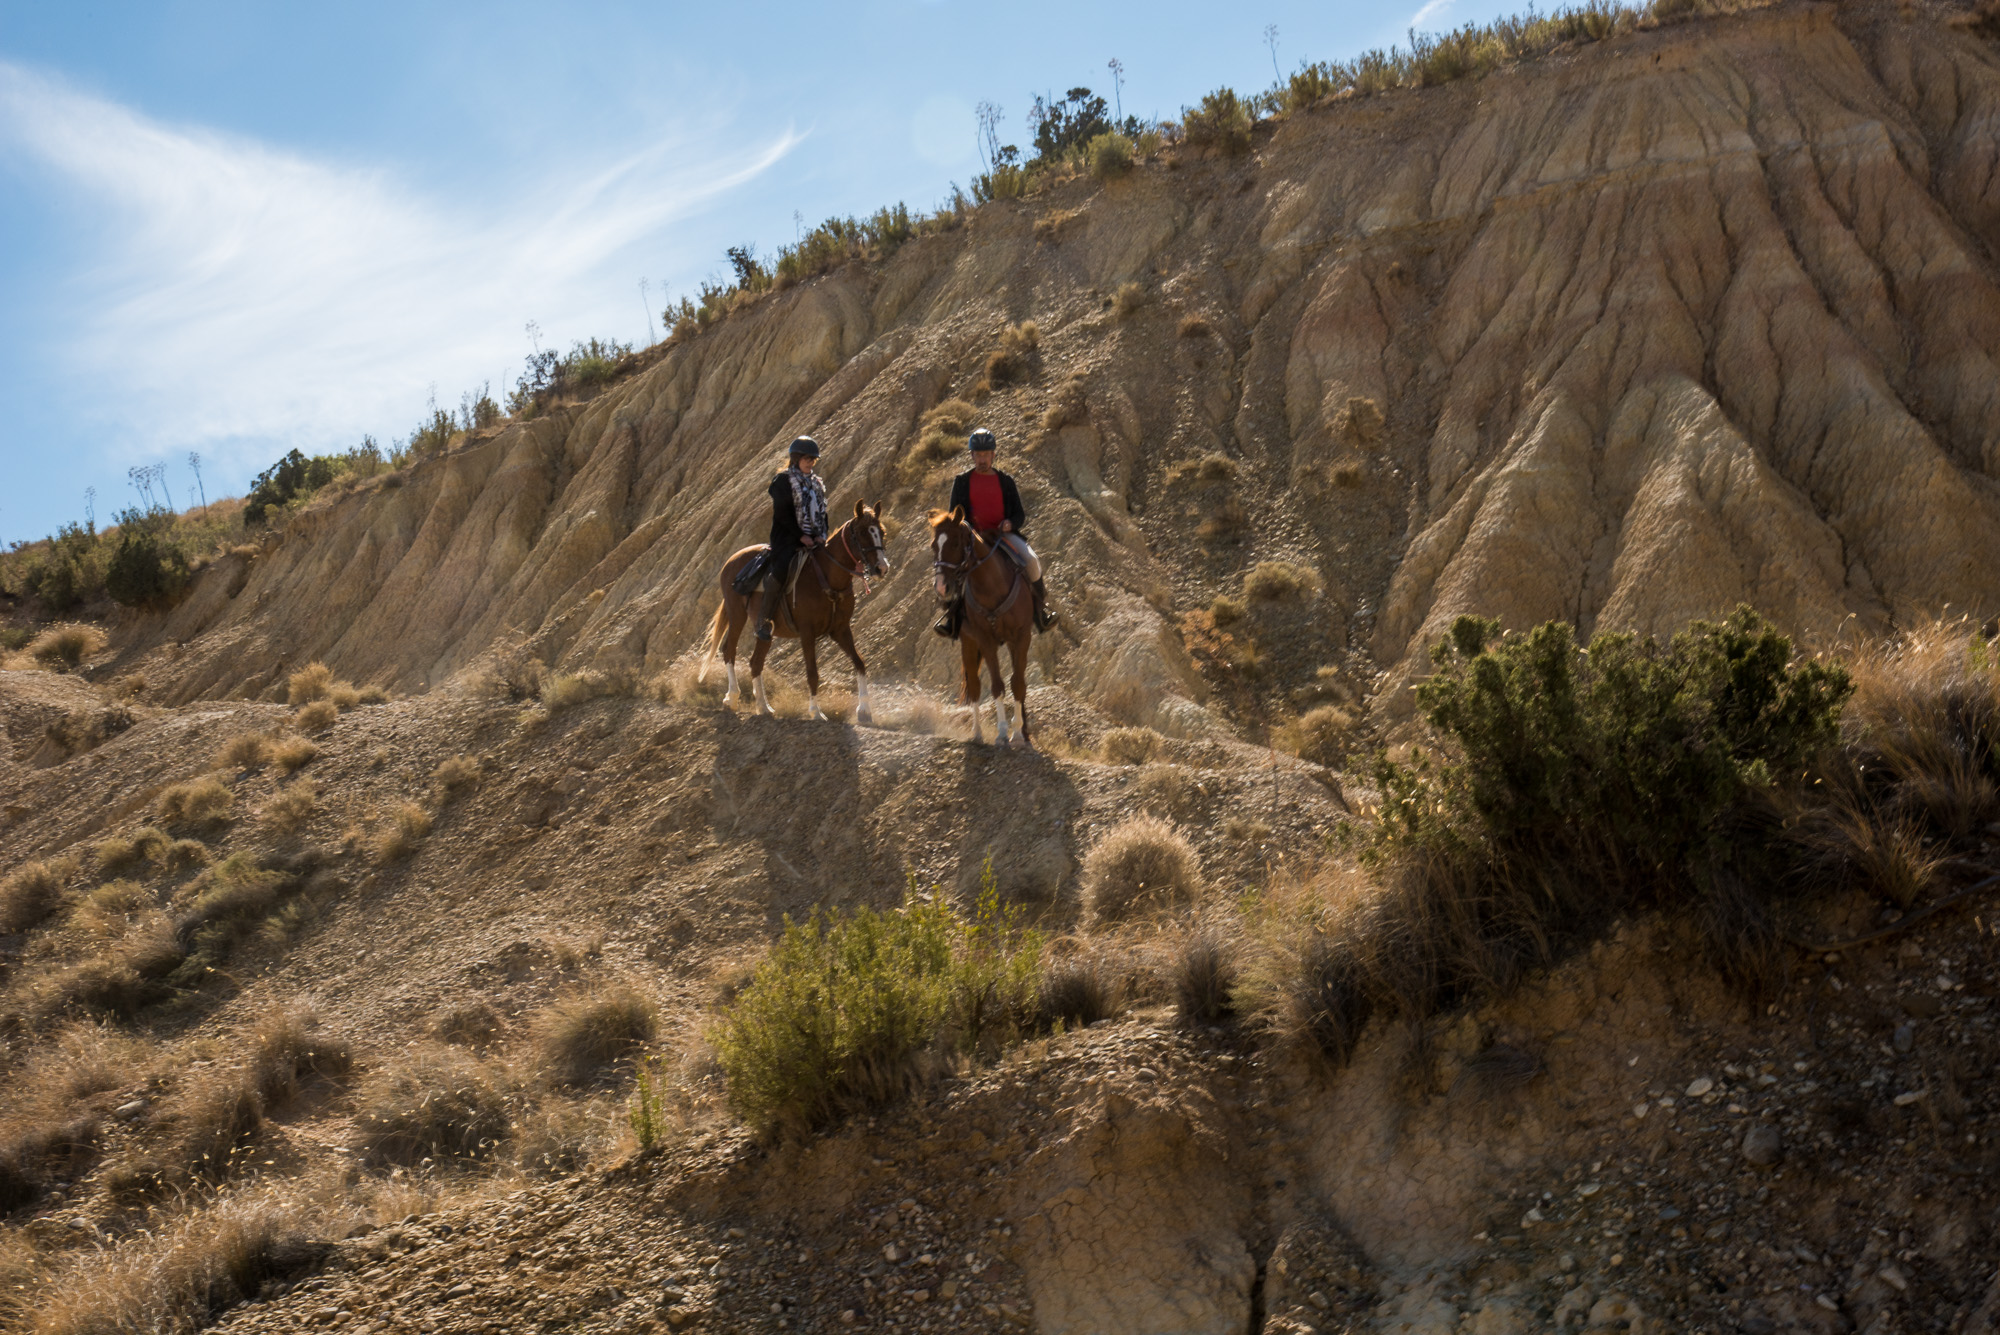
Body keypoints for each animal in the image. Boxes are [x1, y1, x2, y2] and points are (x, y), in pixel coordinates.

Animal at [704, 499, 892, 723]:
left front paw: (864, 710)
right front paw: (816, 712)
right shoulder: (807, 633)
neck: (826, 578)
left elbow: (859, 662)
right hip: (737, 615)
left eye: (881, 532)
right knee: (729, 650)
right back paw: (732, 698)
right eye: (863, 532)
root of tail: (732, 560)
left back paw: (764, 707)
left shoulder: (841, 630)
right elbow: (812, 672)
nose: (882, 568)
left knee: (755, 662)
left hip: (765, 631)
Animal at [932, 505, 1040, 747]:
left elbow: (1018, 683)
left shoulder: (1021, 637)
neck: (991, 586)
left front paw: (1019, 734)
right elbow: (997, 685)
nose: (942, 587)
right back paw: (977, 733)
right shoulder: (985, 640)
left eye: (955, 543)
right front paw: (1002, 733)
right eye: (934, 546)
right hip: (968, 644)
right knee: (974, 686)